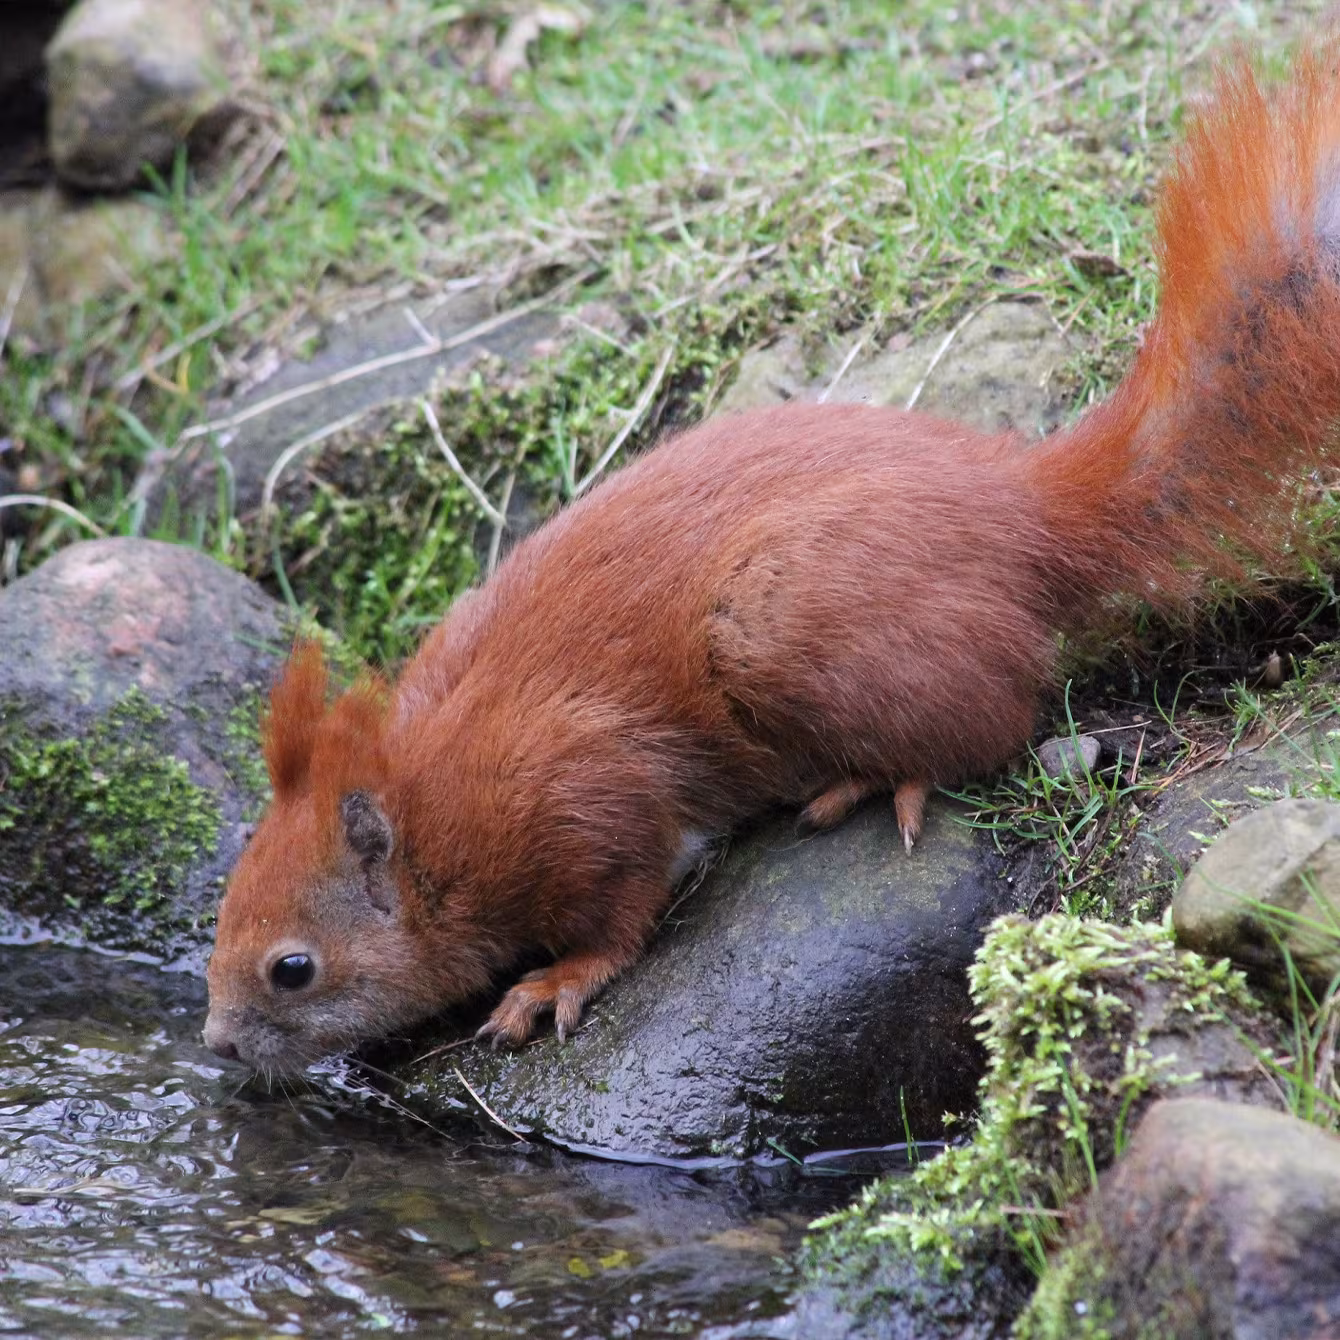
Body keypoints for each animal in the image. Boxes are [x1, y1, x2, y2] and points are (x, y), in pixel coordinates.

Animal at [206, 45, 1340, 1075]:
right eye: (219, 913)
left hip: (777, 624)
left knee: (991, 720)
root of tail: (1023, 509)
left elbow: (622, 903)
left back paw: (875, 779)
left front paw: (552, 981)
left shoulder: (578, 794)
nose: (216, 1043)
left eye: (293, 968)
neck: (431, 810)